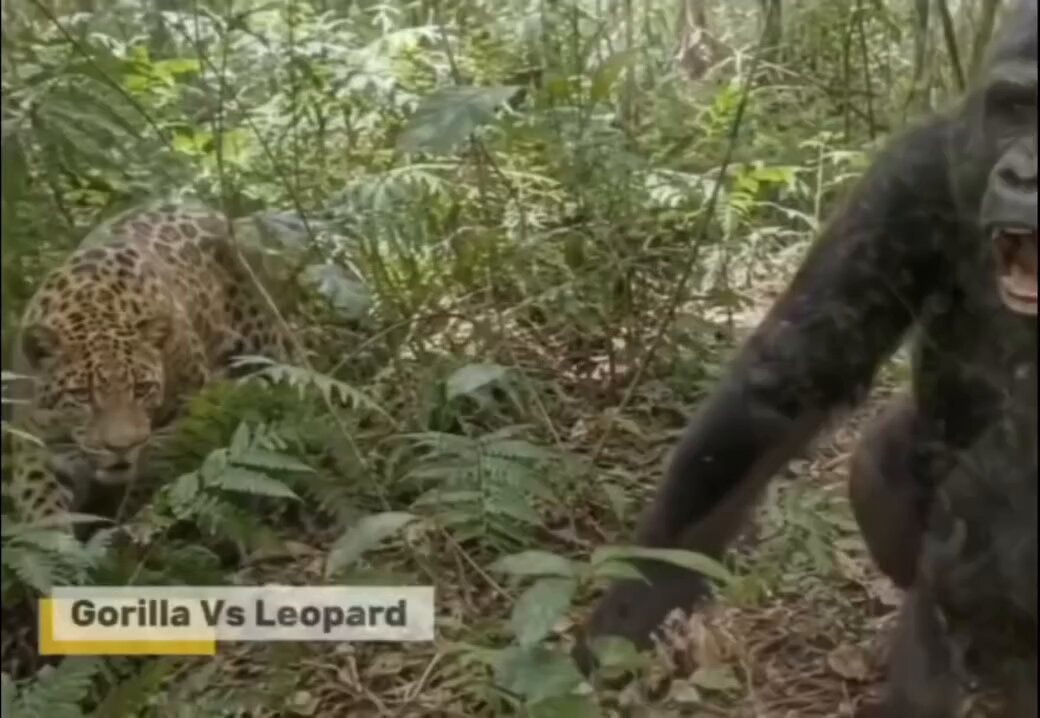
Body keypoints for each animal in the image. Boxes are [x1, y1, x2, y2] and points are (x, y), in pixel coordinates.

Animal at [1, 201, 296, 527]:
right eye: (81, 395)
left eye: (141, 388)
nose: (120, 448)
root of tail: (205, 209)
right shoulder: (33, 437)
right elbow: (41, 504)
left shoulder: (182, 416)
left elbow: (153, 476)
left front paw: (131, 524)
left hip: (268, 347)